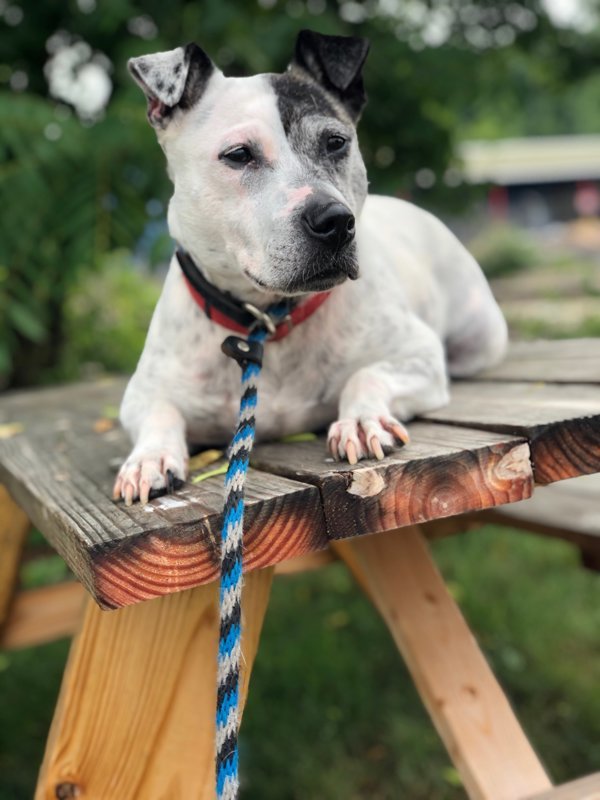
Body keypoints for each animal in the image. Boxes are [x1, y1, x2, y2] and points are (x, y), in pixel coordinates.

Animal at [112, 32, 506, 506]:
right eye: (239, 154)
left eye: (336, 142)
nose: (334, 221)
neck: (270, 319)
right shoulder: (142, 393)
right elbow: (159, 413)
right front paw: (149, 458)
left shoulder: (419, 354)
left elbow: (367, 374)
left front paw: (361, 421)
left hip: (480, 338)